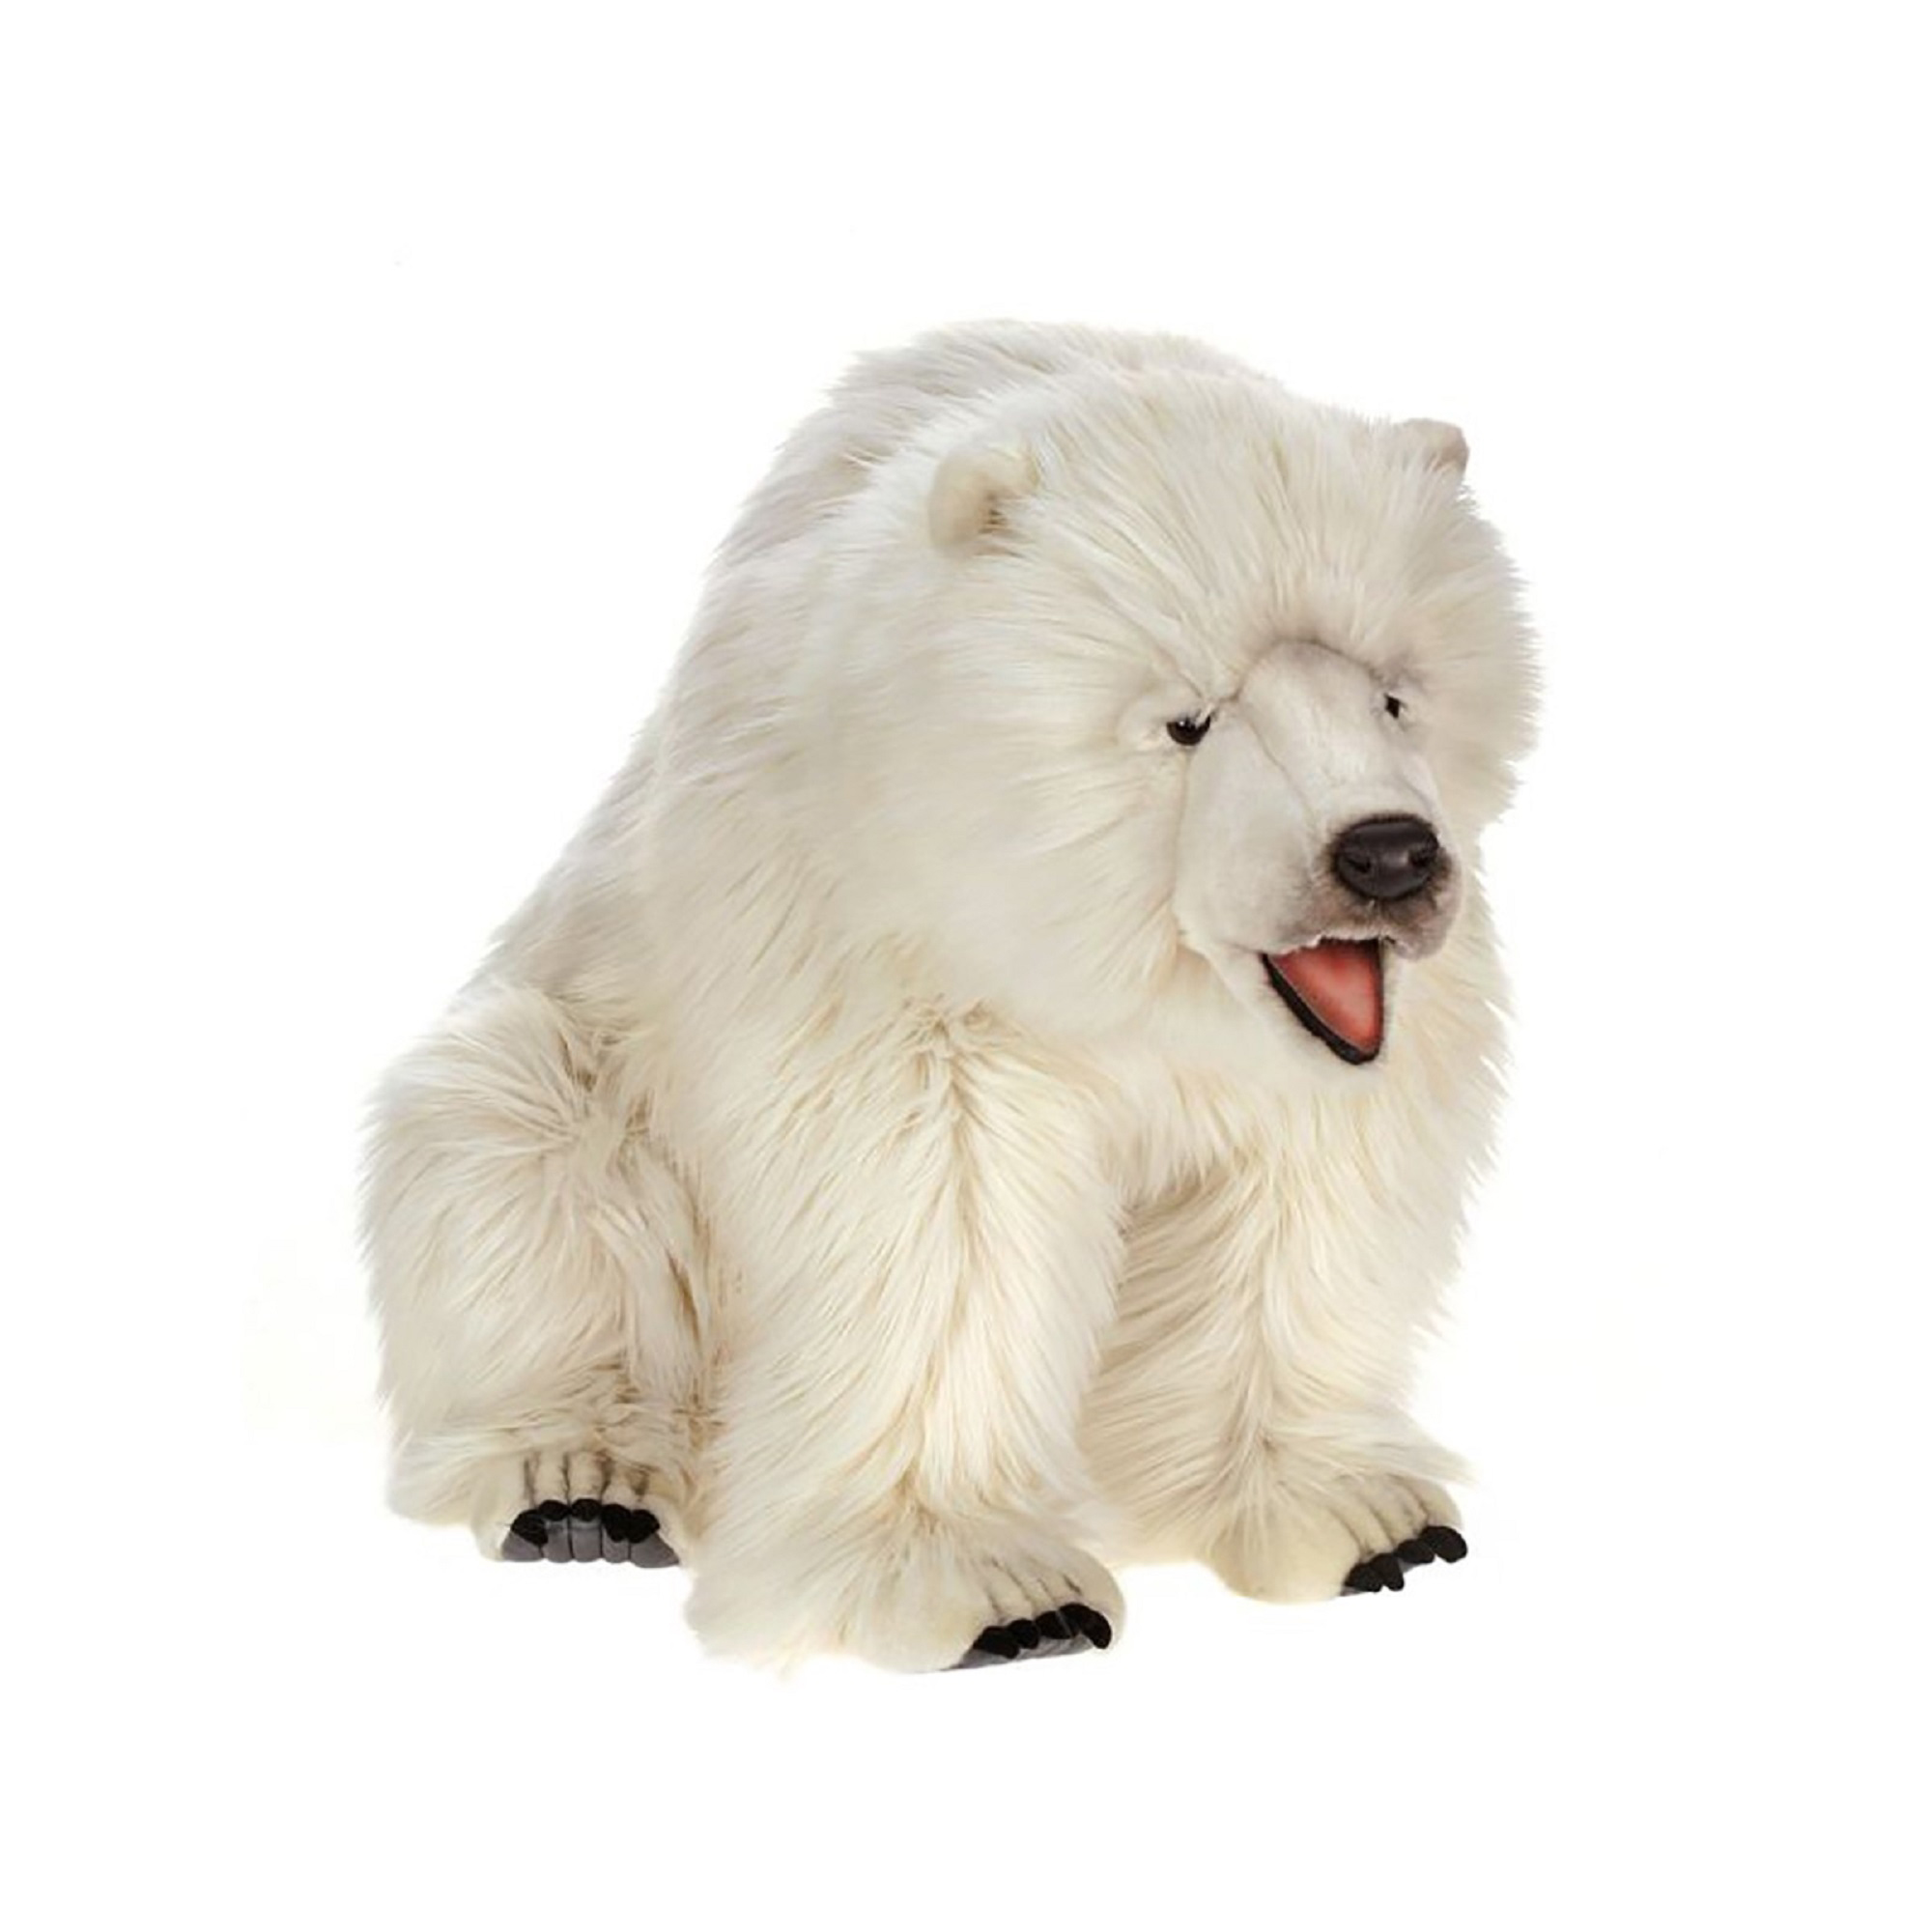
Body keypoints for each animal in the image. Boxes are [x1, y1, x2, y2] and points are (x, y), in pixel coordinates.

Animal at [362, 321, 1538, 1671]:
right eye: (1185, 720)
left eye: (1392, 690)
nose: (1386, 853)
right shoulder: (883, 967)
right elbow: (935, 1230)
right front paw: (999, 1594)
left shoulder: (1320, 1052)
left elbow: (1294, 1215)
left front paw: (1364, 1518)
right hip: (560, 1065)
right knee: (517, 1163)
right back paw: (579, 1485)